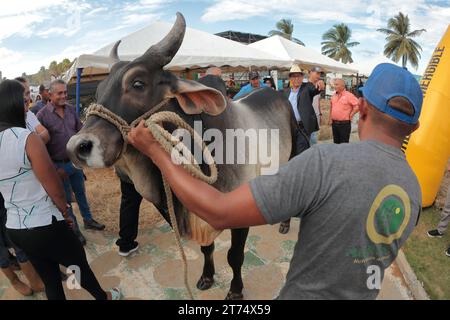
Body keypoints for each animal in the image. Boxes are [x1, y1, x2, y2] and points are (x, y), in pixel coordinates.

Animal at [67, 13, 298, 300]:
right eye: (98, 92)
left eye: (138, 83)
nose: (77, 147)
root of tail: (276, 92)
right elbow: (207, 249)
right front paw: (207, 277)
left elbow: (235, 256)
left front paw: (235, 291)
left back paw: (285, 224)